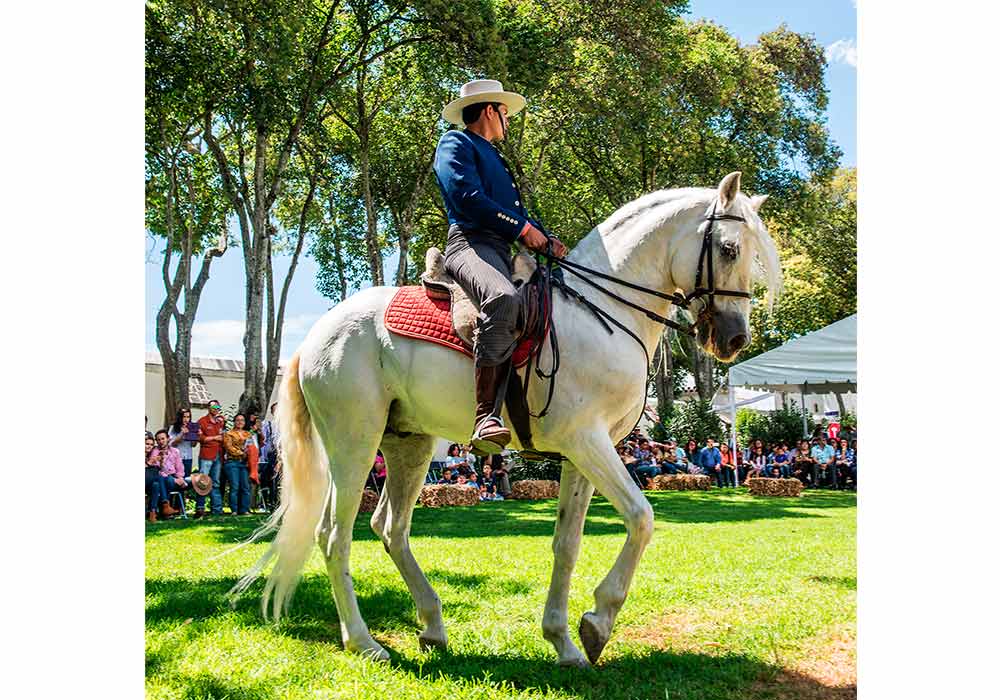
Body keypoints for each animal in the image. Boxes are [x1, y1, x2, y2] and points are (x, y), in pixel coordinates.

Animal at [232, 170, 780, 668]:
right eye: (729, 249)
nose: (734, 339)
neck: (601, 312)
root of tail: (315, 335)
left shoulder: (582, 454)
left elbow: (567, 543)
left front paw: (565, 640)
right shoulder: (588, 441)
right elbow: (641, 519)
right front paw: (598, 621)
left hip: (408, 444)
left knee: (390, 527)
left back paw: (432, 625)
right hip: (354, 445)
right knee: (335, 535)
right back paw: (364, 642)